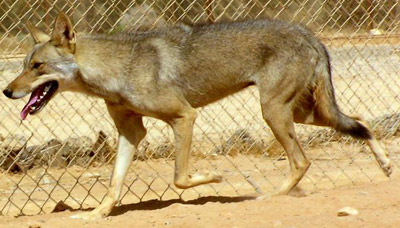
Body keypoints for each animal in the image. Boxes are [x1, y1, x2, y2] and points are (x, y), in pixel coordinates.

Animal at [3, 12, 390, 219]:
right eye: (24, 65)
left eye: (37, 67)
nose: (7, 92)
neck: (115, 68)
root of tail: (310, 35)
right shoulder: (131, 132)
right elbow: (114, 185)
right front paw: (95, 214)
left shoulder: (184, 117)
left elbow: (180, 178)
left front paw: (215, 177)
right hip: (302, 114)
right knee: (361, 122)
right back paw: (385, 164)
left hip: (276, 113)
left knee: (302, 161)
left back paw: (268, 198)